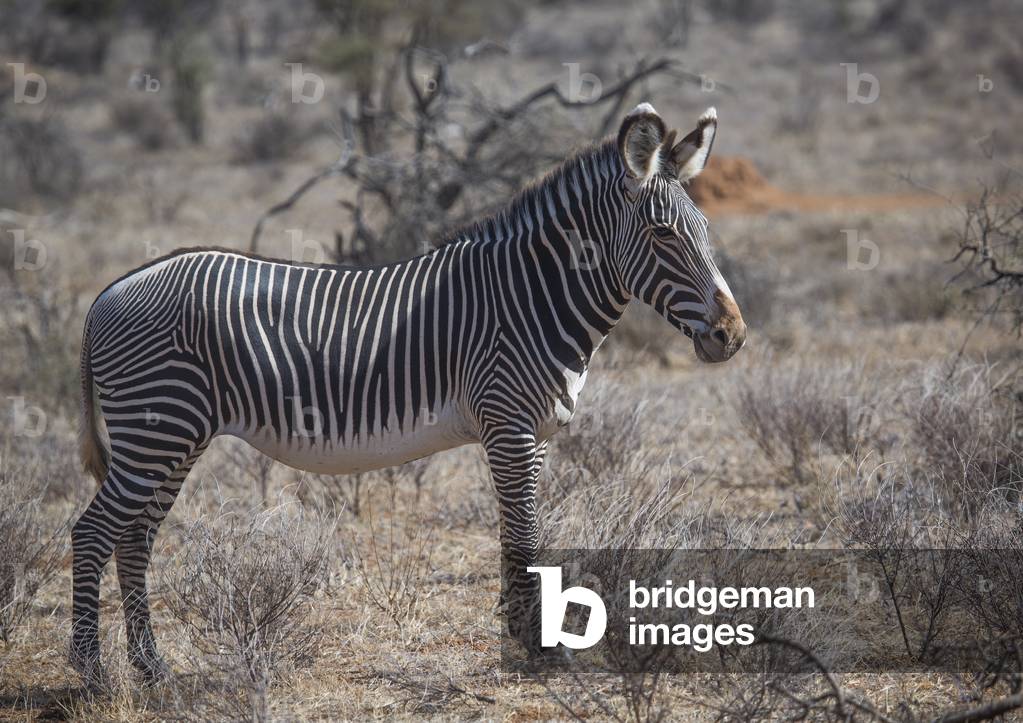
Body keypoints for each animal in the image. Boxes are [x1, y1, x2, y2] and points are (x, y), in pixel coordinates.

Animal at [72, 102, 745, 683]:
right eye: (662, 235)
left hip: (176, 436)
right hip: (156, 429)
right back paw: (91, 673)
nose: (732, 335)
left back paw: (151, 668)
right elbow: (526, 535)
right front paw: (542, 648)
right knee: (93, 532)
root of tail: (110, 291)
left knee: (134, 539)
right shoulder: (509, 424)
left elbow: (521, 535)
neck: (532, 298)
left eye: (706, 230)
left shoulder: (535, 435)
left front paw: (522, 637)